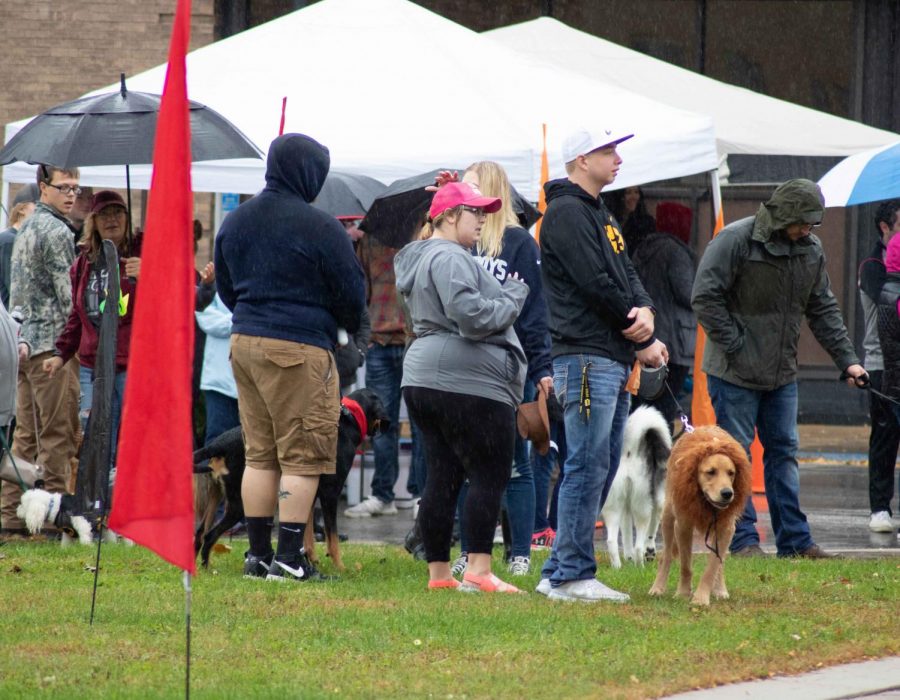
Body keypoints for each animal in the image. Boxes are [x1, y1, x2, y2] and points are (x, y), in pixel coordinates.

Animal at [193, 386, 390, 572]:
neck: (347, 421)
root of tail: (218, 443)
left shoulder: (309, 492)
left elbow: (307, 533)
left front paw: (312, 560)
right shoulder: (330, 493)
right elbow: (332, 537)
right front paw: (340, 568)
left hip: (216, 496)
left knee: (200, 532)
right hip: (238, 504)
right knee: (210, 535)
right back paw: (208, 568)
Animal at [600, 404, 672, 568]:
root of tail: (629, 453)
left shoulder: (626, 508)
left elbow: (626, 534)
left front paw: (628, 558)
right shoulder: (658, 503)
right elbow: (651, 532)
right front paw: (649, 551)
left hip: (613, 506)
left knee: (611, 540)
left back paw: (618, 567)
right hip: (642, 506)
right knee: (639, 544)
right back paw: (640, 566)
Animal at [648, 424, 752, 604]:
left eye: (731, 473)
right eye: (711, 472)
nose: (727, 493)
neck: (706, 502)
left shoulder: (726, 528)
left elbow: (713, 567)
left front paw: (702, 597)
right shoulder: (683, 526)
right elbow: (685, 565)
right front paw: (683, 593)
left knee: (719, 563)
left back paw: (720, 589)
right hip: (668, 516)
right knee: (666, 556)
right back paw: (657, 588)